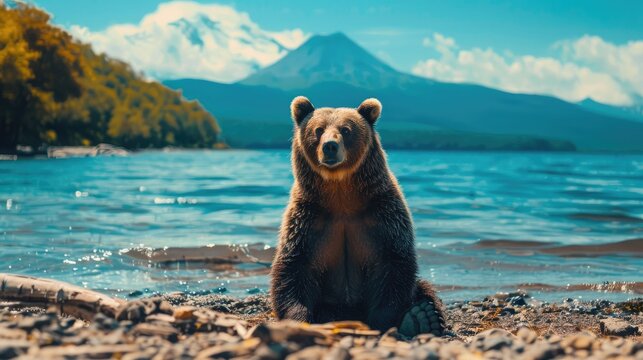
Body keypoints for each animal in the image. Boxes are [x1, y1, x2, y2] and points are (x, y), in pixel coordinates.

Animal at [270, 96, 446, 338]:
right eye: (318, 130)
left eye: (346, 129)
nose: (330, 146)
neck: (342, 195)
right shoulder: (309, 219)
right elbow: (294, 267)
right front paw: (299, 318)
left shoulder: (383, 216)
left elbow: (394, 264)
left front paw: (382, 320)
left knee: (422, 289)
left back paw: (422, 316)